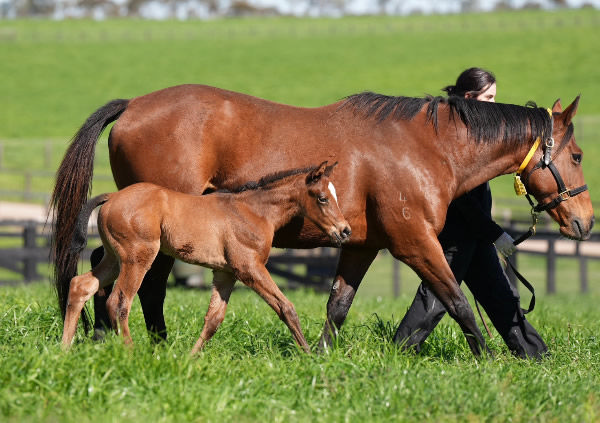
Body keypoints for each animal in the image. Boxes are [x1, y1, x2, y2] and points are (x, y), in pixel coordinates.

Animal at [61, 162, 350, 354]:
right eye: (323, 198)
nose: (345, 230)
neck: (254, 212)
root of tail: (112, 196)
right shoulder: (250, 268)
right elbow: (286, 307)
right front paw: (309, 356)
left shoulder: (226, 273)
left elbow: (213, 320)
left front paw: (190, 359)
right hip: (137, 258)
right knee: (119, 301)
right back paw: (130, 352)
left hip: (114, 258)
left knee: (81, 285)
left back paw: (64, 347)